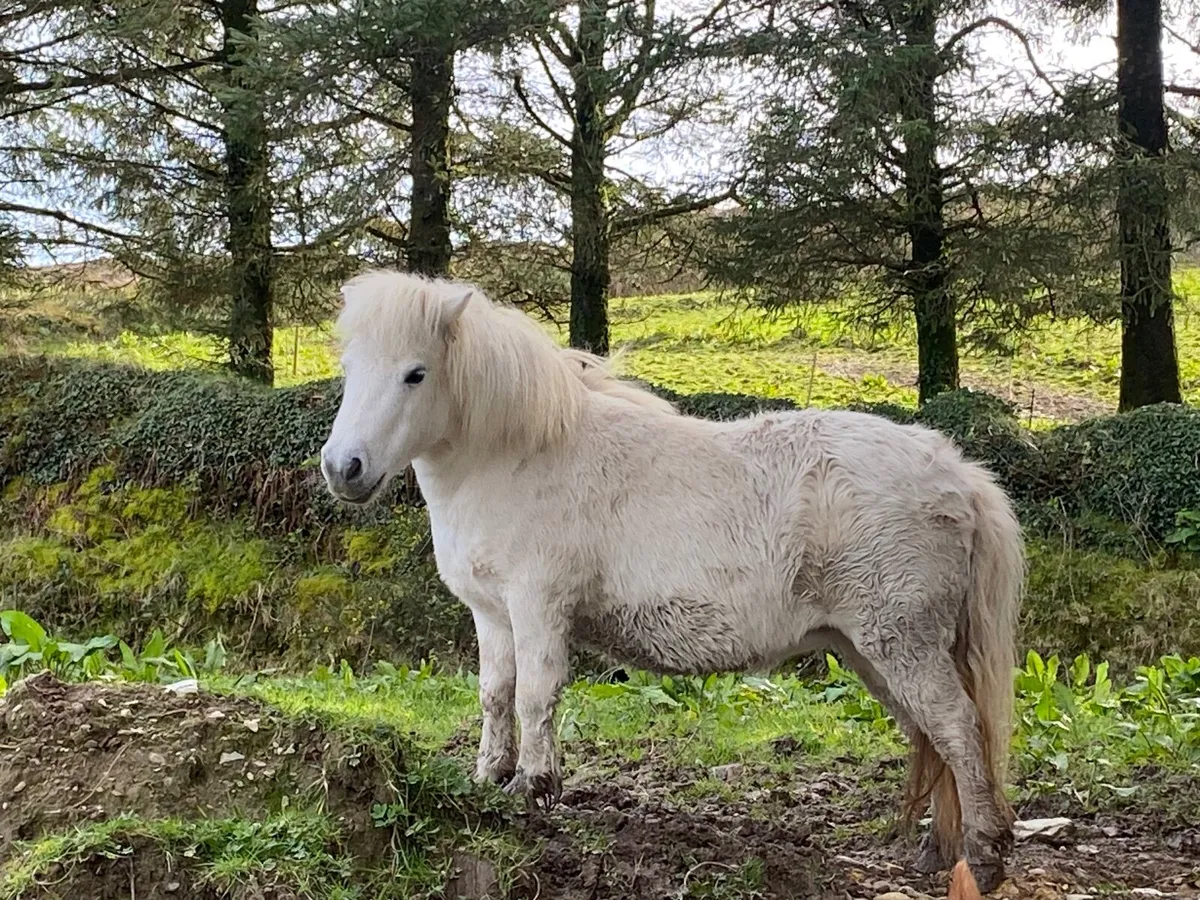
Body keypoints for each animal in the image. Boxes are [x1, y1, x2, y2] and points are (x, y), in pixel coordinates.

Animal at [320, 269, 1025, 891]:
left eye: (416, 373)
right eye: (351, 369)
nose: (343, 468)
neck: (519, 454)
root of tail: (955, 469)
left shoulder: (538, 608)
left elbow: (535, 697)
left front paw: (530, 790)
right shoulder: (492, 614)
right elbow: (496, 695)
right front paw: (486, 779)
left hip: (900, 644)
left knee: (957, 729)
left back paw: (984, 856)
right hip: (871, 652)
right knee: (931, 738)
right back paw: (940, 851)